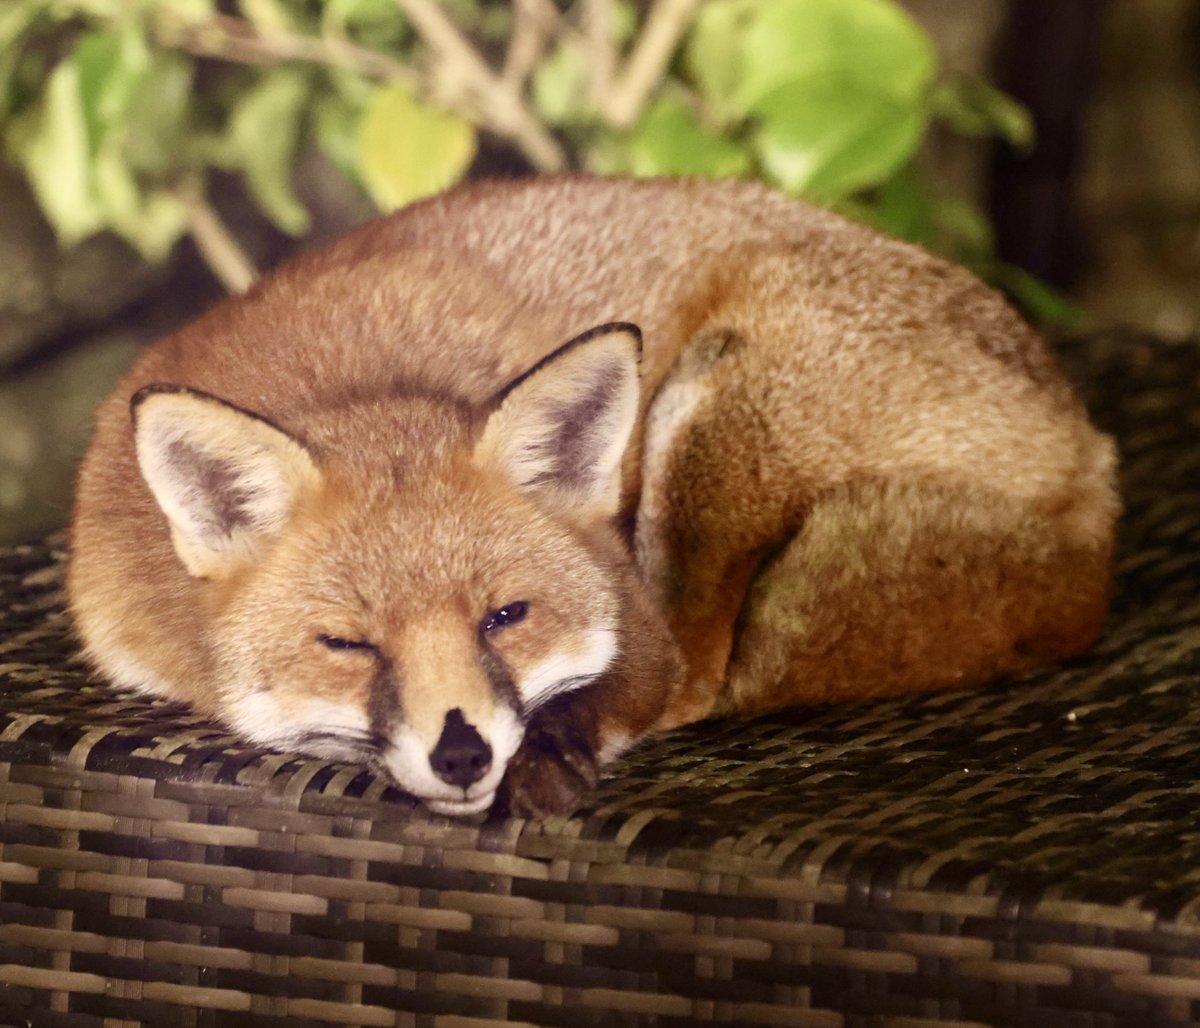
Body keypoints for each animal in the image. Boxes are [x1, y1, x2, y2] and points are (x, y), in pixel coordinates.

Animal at [63, 178, 1113, 820]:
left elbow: (628, 684)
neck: (355, 379)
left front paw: (549, 756)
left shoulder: (631, 608)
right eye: (349, 645)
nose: (462, 757)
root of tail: (1097, 461)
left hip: (709, 418)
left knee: (704, 675)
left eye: (506, 617)